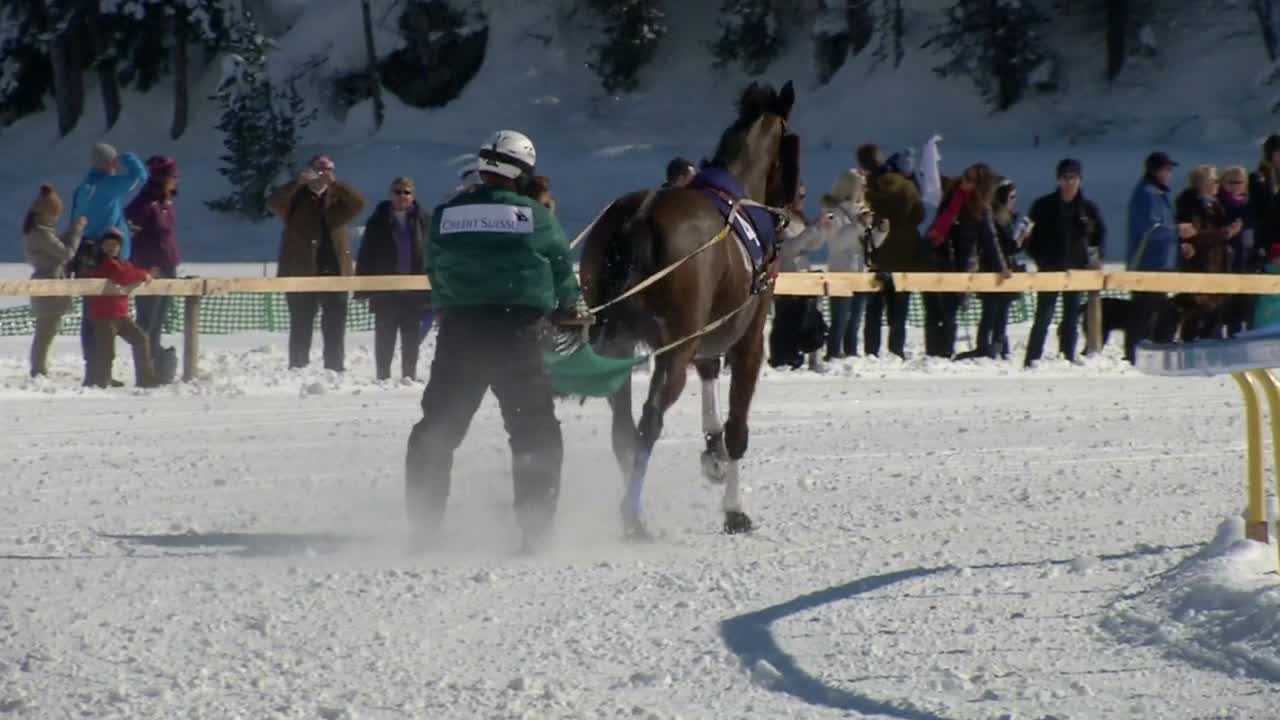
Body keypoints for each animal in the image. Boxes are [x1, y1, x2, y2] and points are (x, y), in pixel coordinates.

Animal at [581, 81, 798, 535]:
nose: (792, 210)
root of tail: (640, 216)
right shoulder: (749, 341)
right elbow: (737, 430)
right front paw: (734, 508)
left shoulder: (708, 337)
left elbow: (711, 381)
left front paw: (713, 454)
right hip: (673, 349)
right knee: (648, 422)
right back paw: (633, 518)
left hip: (622, 344)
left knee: (623, 427)